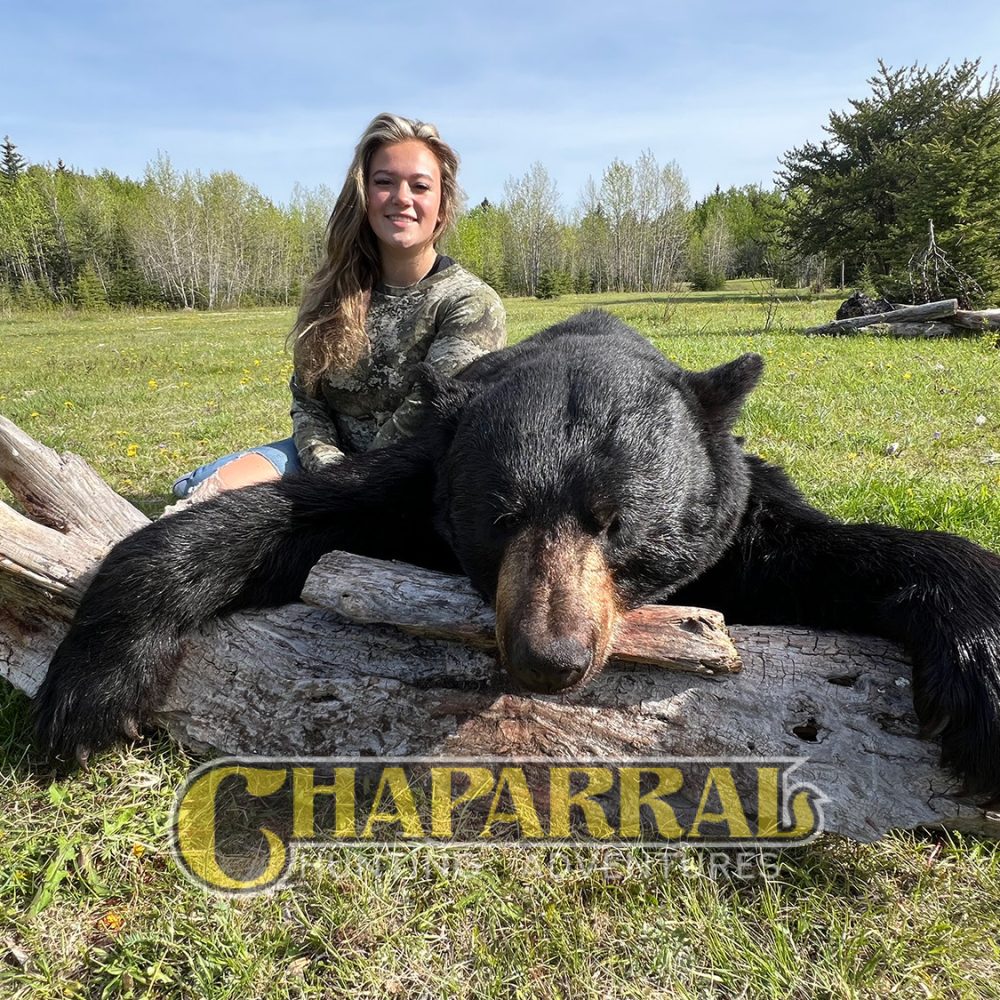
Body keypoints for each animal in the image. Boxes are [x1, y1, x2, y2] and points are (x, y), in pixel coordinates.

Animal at [33, 310, 1000, 797]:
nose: (549, 657)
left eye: (616, 523)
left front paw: (979, 672)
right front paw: (84, 697)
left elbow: (832, 553)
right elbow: (284, 516)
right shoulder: (419, 475)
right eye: (500, 516)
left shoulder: (740, 521)